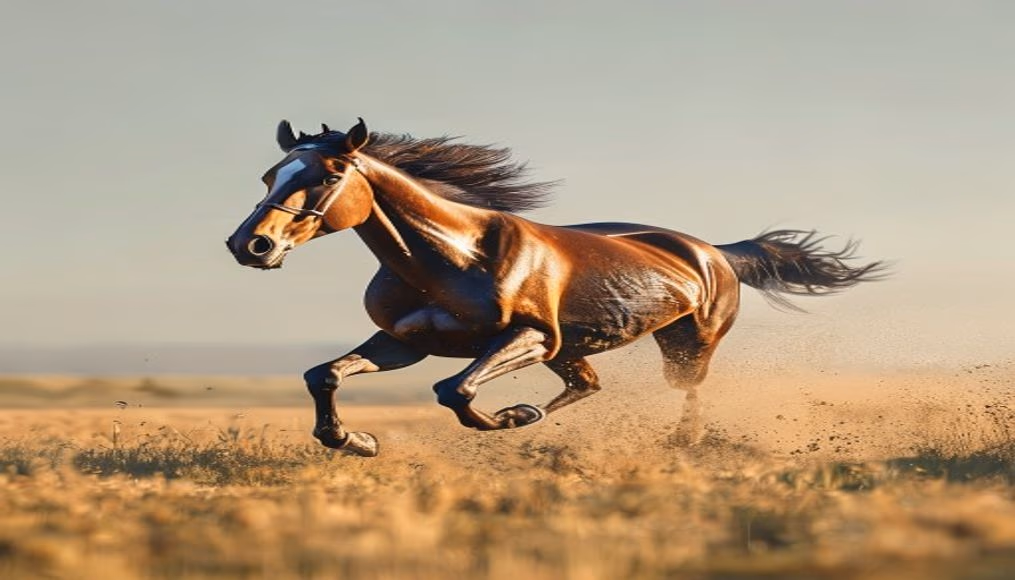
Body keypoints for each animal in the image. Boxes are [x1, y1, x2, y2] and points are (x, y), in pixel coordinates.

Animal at [226, 118, 886, 456]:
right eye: (270, 174)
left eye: (331, 173)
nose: (251, 245)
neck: (448, 255)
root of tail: (717, 252)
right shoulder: (404, 342)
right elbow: (325, 374)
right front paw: (353, 438)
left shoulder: (531, 337)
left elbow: (453, 390)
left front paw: (506, 416)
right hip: (574, 350)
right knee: (587, 385)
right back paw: (535, 410)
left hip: (684, 345)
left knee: (688, 391)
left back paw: (680, 441)